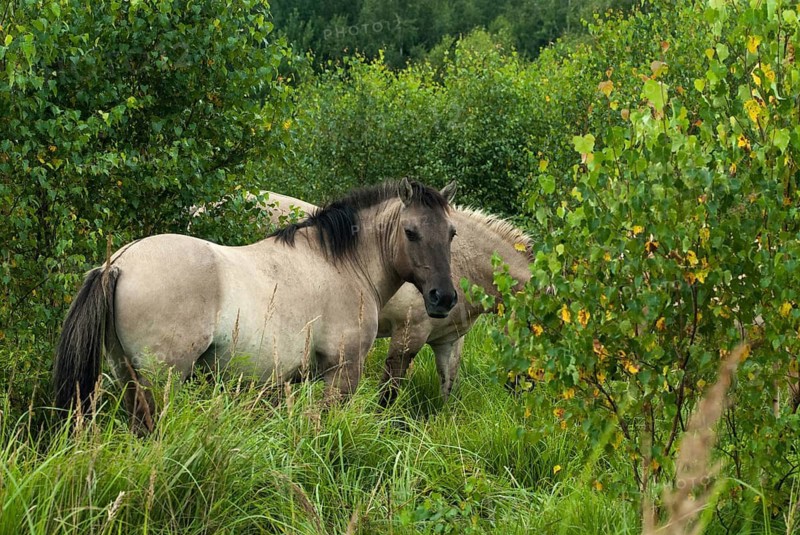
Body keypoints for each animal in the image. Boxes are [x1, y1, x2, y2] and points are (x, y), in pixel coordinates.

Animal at [53, 179, 459, 432]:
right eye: (411, 232)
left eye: (451, 233)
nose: (444, 298)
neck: (343, 263)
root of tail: (118, 263)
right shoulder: (342, 371)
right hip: (162, 380)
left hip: (128, 378)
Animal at [259, 194, 532, 404]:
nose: (524, 389)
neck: (461, 265)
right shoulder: (408, 336)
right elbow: (388, 393)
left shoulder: (449, 341)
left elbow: (448, 388)